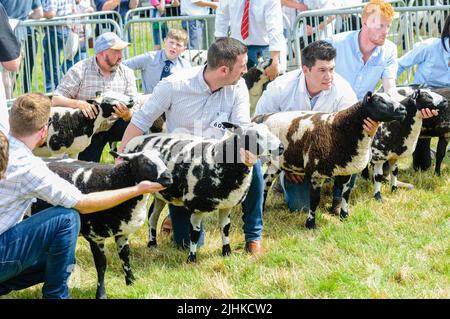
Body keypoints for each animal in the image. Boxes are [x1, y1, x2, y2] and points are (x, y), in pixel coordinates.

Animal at [31, 150, 172, 300]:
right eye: (145, 162)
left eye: (163, 158)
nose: (168, 177)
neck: (112, 182)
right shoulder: (95, 236)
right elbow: (101, 265)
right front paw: (101, 294)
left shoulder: (123, 234)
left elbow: (125, 257)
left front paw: (131, 283)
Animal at [123, 122, 284, 262]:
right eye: (254, 135)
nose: (281, 147)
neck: (218, 161)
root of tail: (135, 141)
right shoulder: (196, 206)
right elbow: (194, 234)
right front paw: (191, 258)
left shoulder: (226, 205)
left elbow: (225, 229)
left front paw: (227, 253)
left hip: (161, 194)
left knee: (152, 216)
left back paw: (152, 245)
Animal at [253, 92, 408, 230]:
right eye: (380, 100)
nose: (403, 109)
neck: (338, 130)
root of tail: (261, 116)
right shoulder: (316, 173)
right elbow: (314, 201)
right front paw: (310, 225)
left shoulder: (346, 171)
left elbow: (345, 195)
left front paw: (344, 217)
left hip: (276, 163)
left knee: (265, 184)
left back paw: (262, 209)